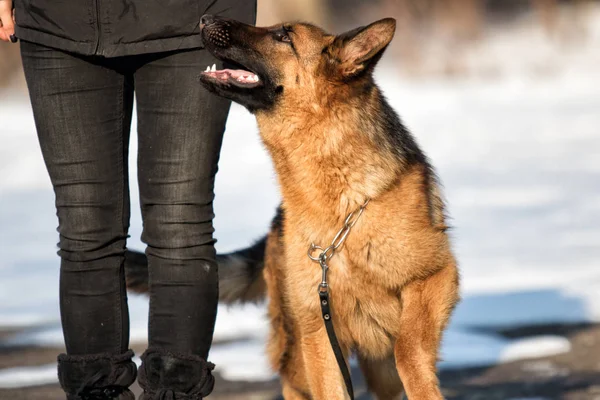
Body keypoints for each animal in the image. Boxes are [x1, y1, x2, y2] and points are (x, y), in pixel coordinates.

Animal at [124, 14, 458, 398]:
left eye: (284, 36)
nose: (204, 18)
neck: (341, 206)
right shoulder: (318, 330)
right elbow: (331, 389)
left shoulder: (435, 277)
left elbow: (408, 347)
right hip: (301, 350)